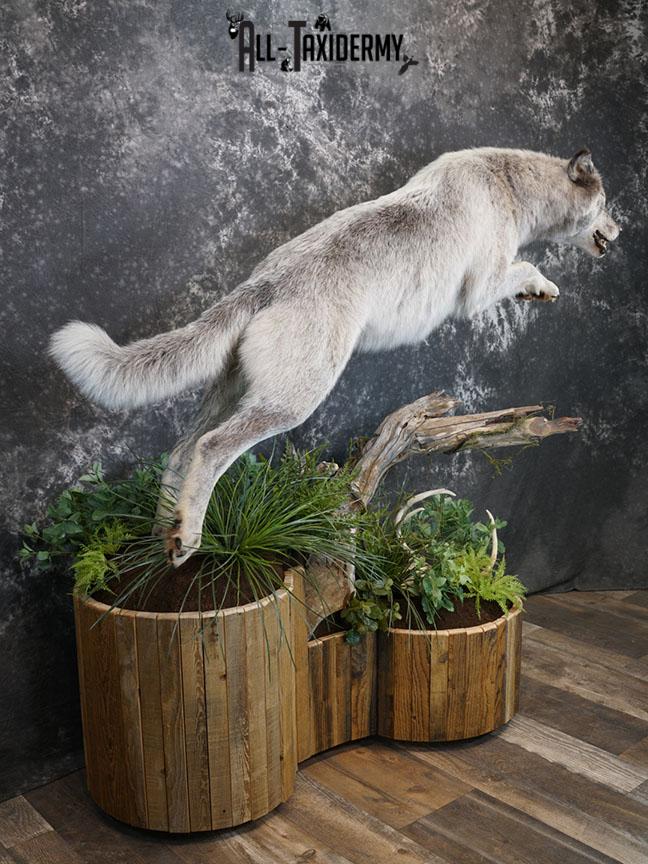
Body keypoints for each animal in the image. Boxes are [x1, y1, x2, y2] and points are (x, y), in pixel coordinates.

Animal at [50, 146, 619, 565]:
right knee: (210, 449)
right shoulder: (480, 289)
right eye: (608, 204)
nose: (620, 231)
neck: (509, 183)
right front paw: (543, 287)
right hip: (291, 403)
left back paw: (163, 538)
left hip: (230, 397)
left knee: (180, 451)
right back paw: (187, 538)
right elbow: (526, 266)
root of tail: (263, 284)